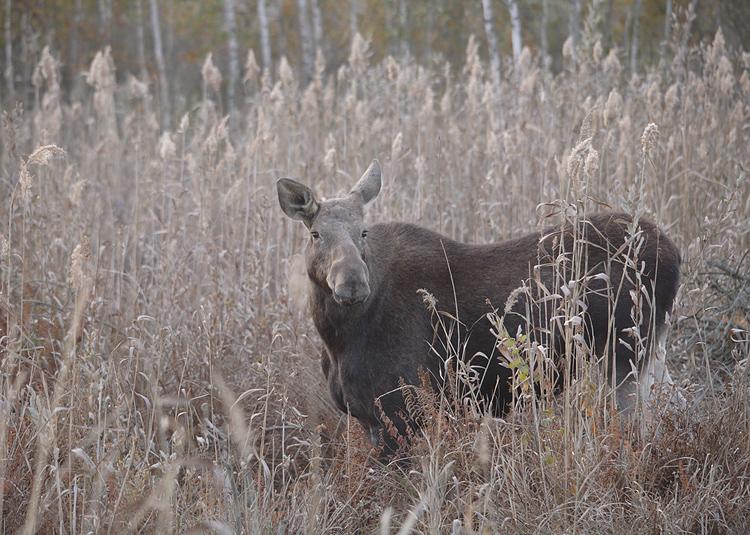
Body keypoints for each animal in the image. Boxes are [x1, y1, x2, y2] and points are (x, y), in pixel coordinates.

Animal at [280, 160, 684, 456]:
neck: (337, 338)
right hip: (650, 354)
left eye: (363, 232)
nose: (352, 284)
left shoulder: (401, 411)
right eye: (316, 234)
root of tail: (674, 253)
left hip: (625, 359)